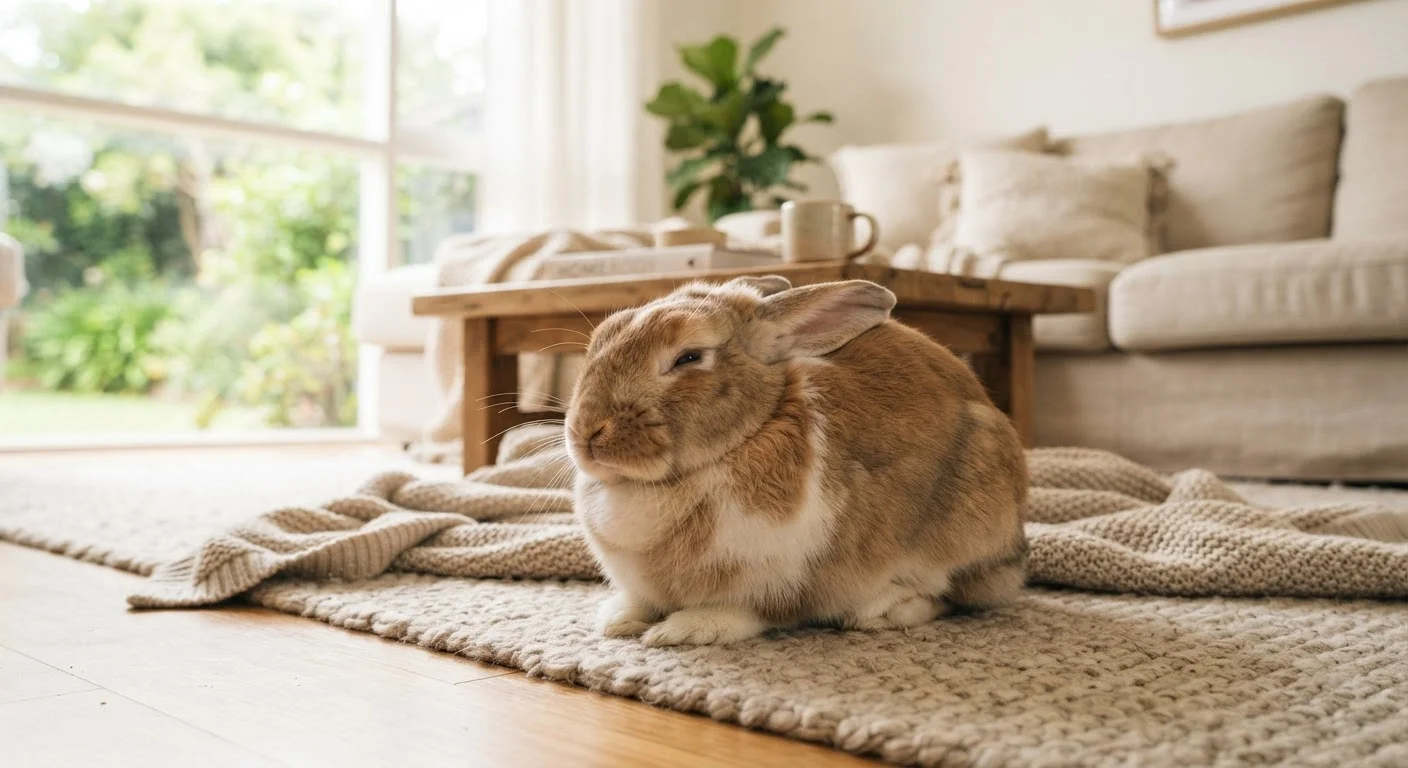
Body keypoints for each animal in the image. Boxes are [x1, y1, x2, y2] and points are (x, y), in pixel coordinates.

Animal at [565, 275, 1028, 646]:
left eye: (689, 357)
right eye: (600, 339)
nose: (586, 433)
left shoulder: (780, 579)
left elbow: (747, 611)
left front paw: (681, 631)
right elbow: (637, 602)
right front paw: (616, 621)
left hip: (968, 525)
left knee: (953, 595)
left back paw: (881, 611)